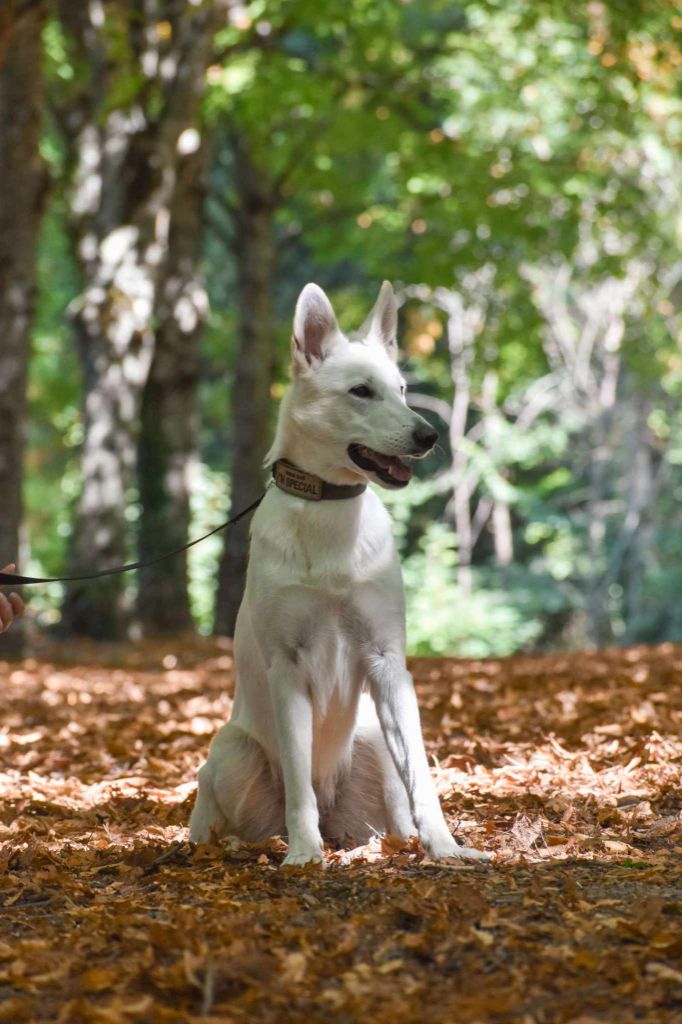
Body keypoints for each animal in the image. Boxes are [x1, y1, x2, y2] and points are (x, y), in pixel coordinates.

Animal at [189, 280, 489, 864]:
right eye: (361, 392)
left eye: (401, 389)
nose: (429, 435)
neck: (328, 508)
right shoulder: (286, 670)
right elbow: (298, 783)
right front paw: (304, 855)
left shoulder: (388, 663)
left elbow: (423, 779)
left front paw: (446, 846)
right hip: (232, 750)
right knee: (230, 807)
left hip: (372, 738)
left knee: (395, 803)